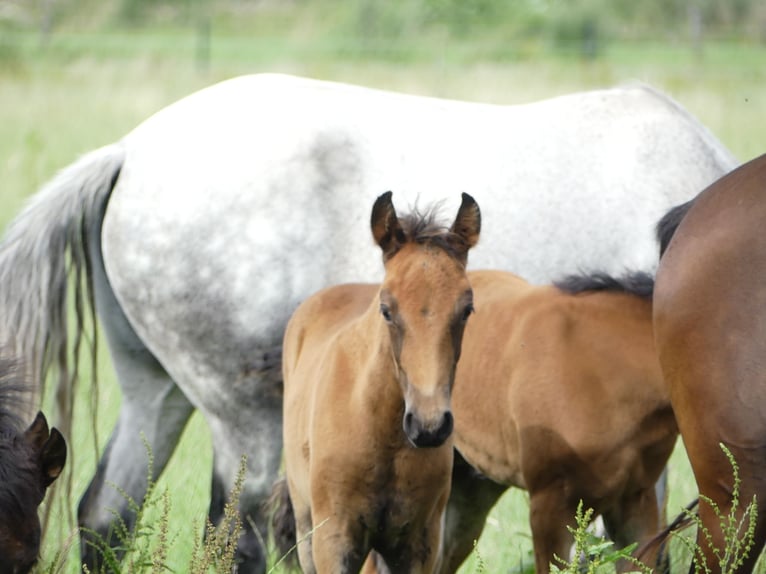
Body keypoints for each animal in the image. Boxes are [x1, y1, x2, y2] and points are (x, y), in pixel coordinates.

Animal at [280, 191, 484, 572]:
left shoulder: (420, 541)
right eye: (387, 309)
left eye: (467, 309)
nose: (429, 426)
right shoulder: (334, 538)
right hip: (305, 527)